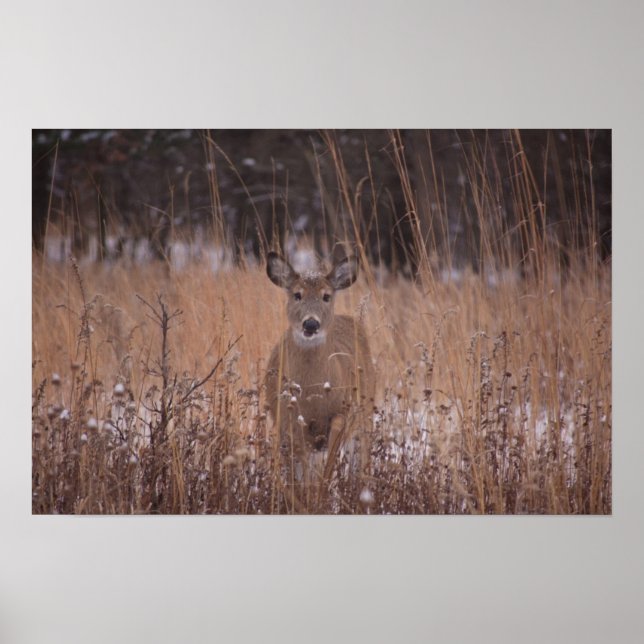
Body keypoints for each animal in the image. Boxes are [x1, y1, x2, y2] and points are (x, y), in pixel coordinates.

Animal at [263, 252, 375, 505]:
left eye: (326, 296)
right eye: (297, 294)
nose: (311, 323)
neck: (313, 395)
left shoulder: (342, 412)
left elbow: (329, 464)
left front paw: (319, 498)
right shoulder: (290, 420)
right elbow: (302, 473)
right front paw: (305, 500)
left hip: (365, 412)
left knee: (360, 458)